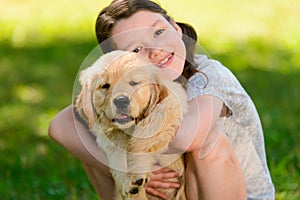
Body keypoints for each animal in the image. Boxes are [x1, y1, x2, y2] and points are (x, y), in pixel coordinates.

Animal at [75, 50, 188, 199]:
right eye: (105, 86)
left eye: (134, 83)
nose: (121, 101)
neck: (127, 129)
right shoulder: (110, 140)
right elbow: (117, 158)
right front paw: (127, 184)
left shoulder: (169, 105)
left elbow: (138, 142)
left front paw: (136, 174)